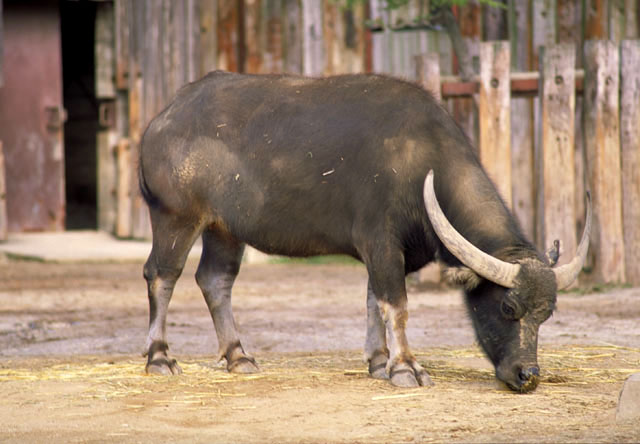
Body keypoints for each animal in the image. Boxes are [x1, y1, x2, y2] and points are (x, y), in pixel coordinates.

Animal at [141, 72, 592, 392]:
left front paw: (378, 361)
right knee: (162, 275)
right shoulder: (382, 243)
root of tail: (164, 118)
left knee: (215, 280)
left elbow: (374, 300)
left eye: (547, 314)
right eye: (507, 308)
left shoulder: (387, 255)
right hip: (176, 217)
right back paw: (159, 358)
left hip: (224, 229)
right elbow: (398, 305)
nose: (527, 374)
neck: (422, 163)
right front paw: (406, 368)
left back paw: (238, 357)